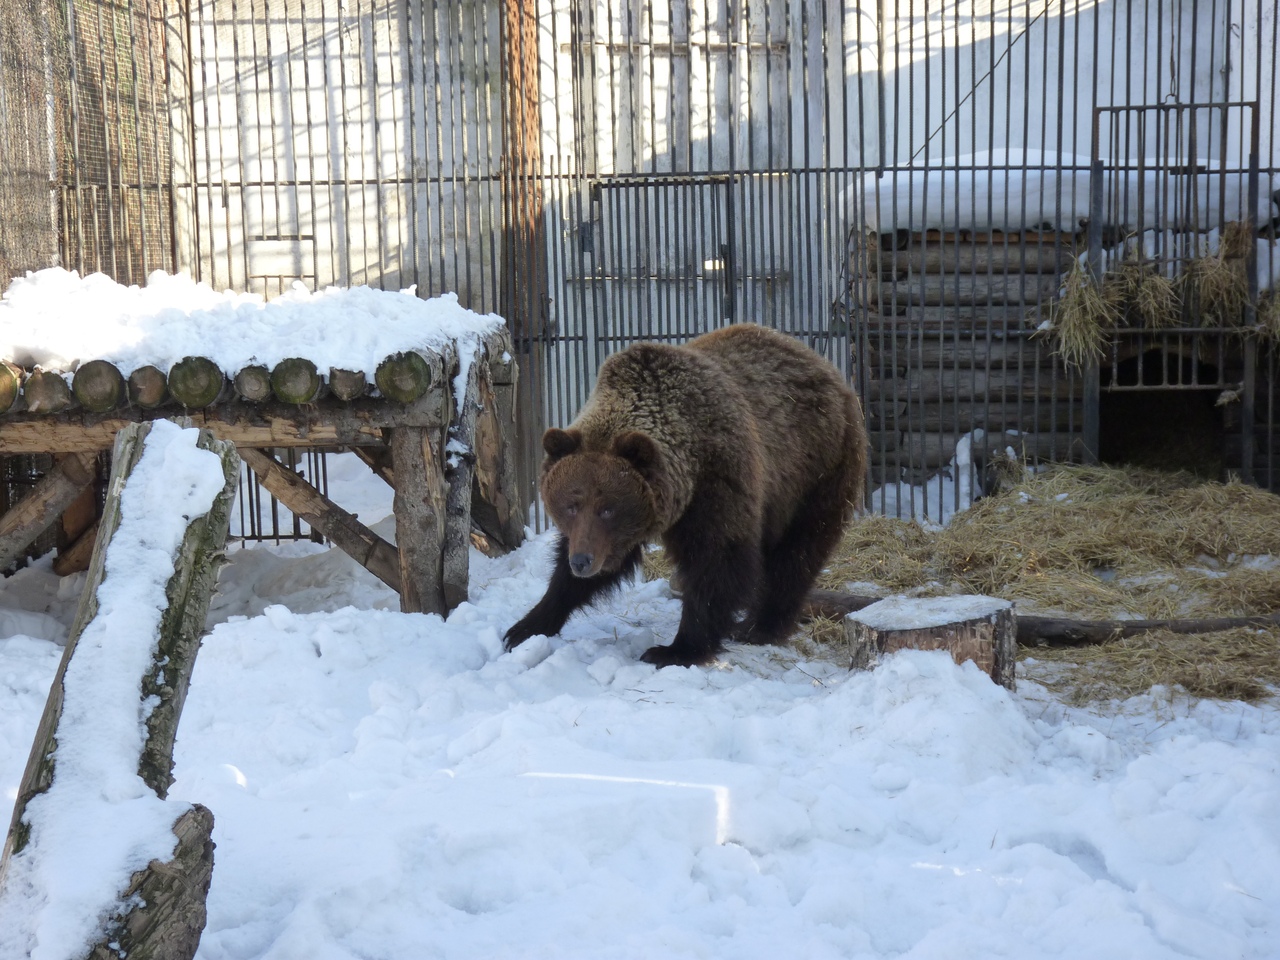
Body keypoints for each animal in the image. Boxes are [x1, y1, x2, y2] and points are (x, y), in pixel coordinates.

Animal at [504, 323, 865, 670]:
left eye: (608, 508)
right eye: (571, 505)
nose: (582, 561)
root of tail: (823, 365)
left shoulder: (719, 481)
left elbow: (717, 562)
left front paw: (675, 649)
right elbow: (576, 574)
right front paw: (525, 626)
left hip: (816, 470)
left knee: (797, 554)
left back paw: (758, 626)